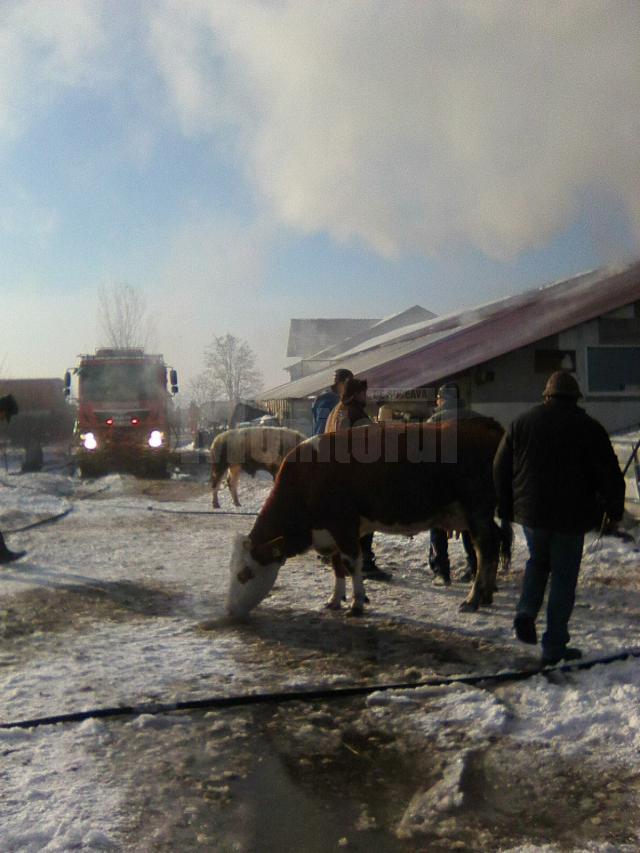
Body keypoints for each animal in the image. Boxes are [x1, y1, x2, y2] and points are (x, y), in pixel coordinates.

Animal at [228, 422, 512, 616]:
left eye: (244, 574)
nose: (230, 611)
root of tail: (484, 426)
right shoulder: (331, 532)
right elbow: (336, 566)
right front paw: (335, 599)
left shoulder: (343, 525)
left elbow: (351, 563)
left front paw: (356, 603)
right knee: (494, 542)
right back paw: (486, 593)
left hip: (477, 508)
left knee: (486, 547)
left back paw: (473, 598)